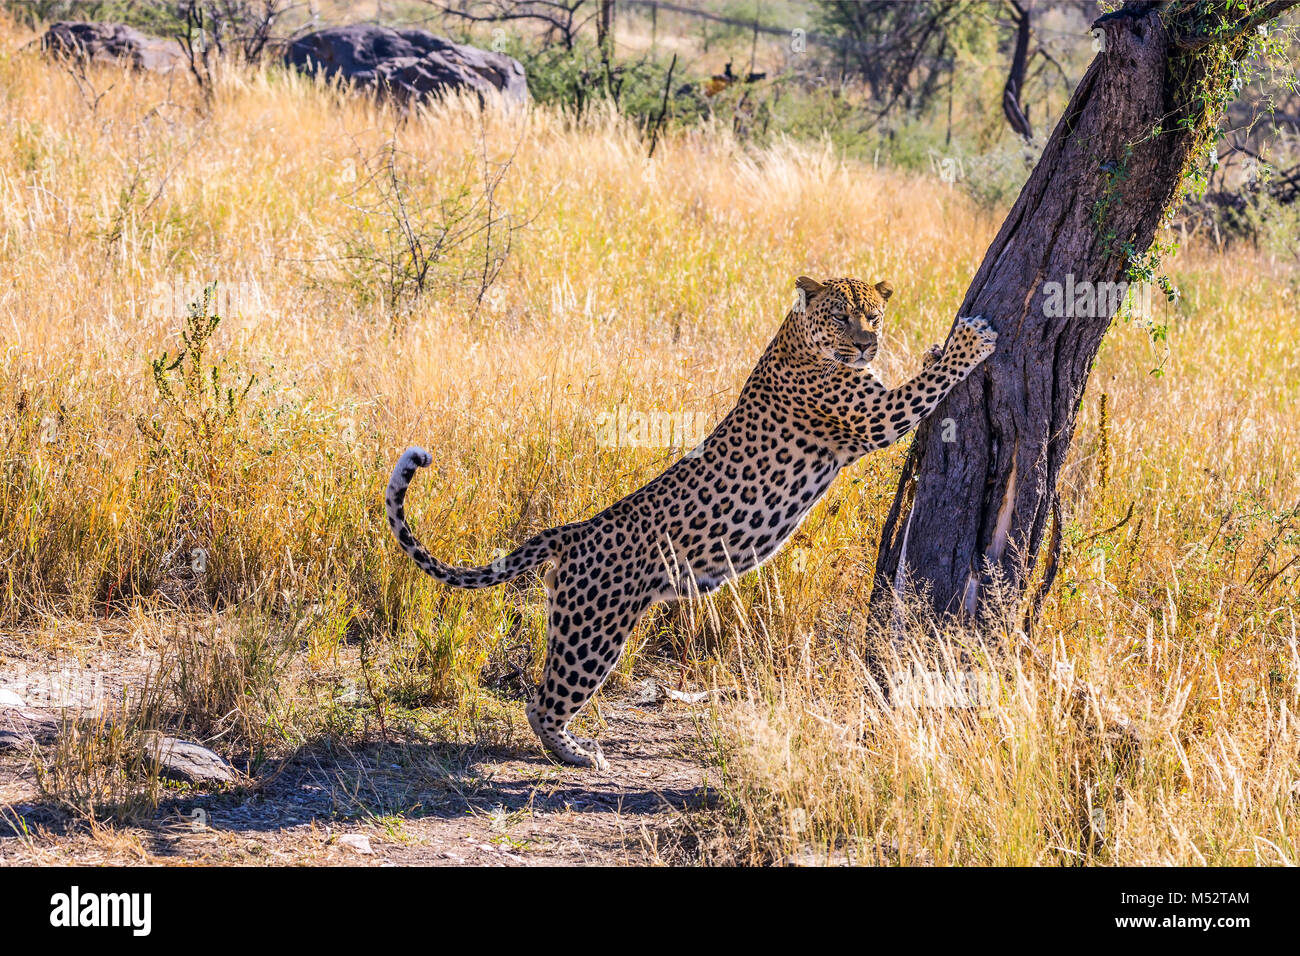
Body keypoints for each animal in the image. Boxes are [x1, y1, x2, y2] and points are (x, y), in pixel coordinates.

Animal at [382, 274, 993, 770]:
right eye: (842, 316)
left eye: (874, 315)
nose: (868, 344)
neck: (797, 338)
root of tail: (576, 530)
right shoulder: (875, 417)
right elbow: (927, 383)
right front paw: (970, 340)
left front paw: (938, 344)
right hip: (594, 631)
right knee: (543, 702)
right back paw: (578, 755)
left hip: (574, 620)